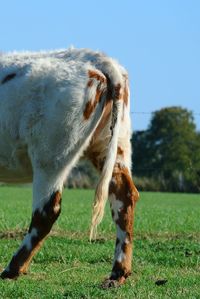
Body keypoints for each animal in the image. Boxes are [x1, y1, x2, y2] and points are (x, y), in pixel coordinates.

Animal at [0, 48, 139, 290]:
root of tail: (95, 57)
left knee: (46, 212)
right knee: (124, 197)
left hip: (51, 155)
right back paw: (117, 273)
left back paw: (12, 269)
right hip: (113, 144)